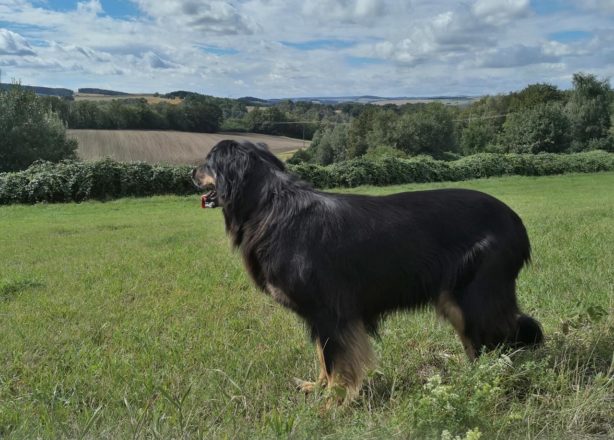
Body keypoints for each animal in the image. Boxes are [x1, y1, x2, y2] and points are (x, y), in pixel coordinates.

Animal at [192, 140, 544, 398]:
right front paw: (317, 388)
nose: (190, 172)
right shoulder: (320, 316)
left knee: (499, 342)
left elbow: (337, 362)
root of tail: (516, 221)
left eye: (209, 160)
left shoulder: (331, 311)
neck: (271, 205)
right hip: (456, 299)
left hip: (471, 298)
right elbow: (322, 357)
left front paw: (332, 404)